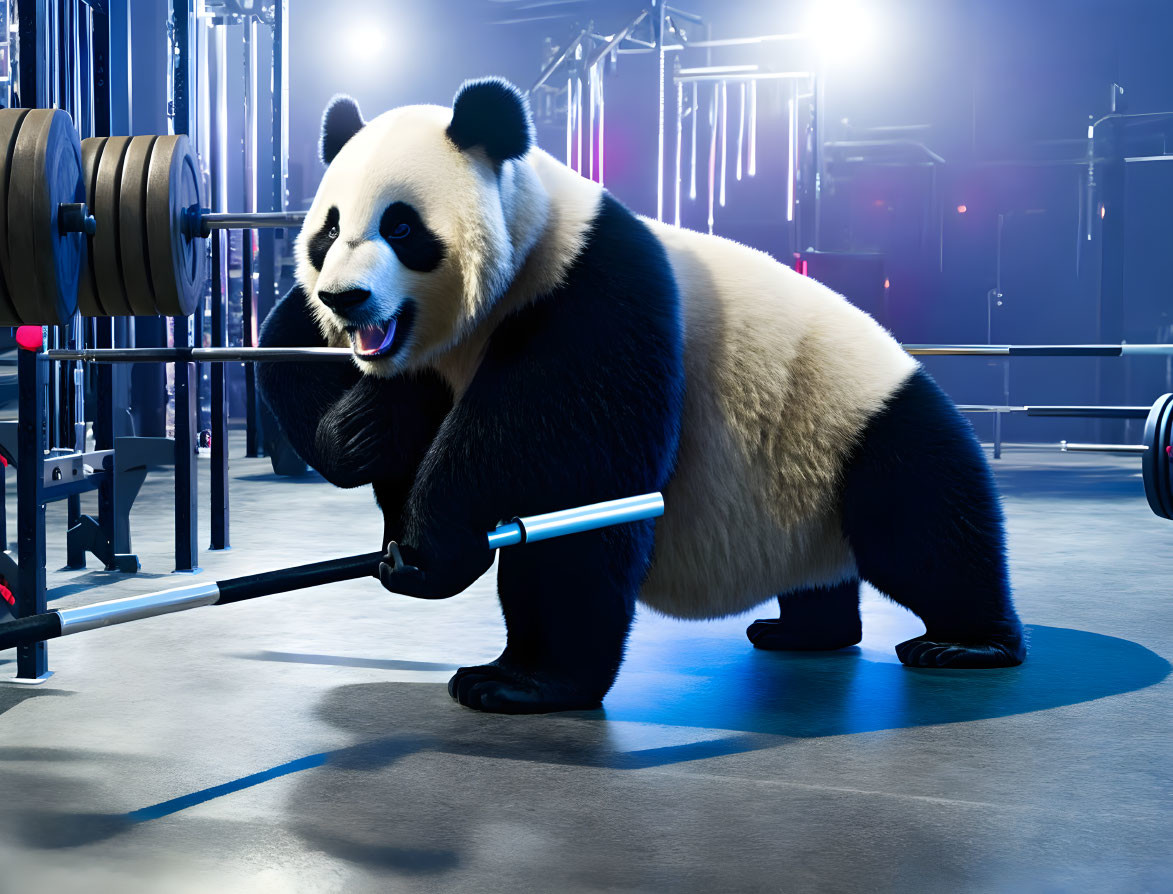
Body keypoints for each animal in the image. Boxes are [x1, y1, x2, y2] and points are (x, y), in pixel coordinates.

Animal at [254, 80, 1018, 713]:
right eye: (328, 229)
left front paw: (496, 638)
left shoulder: (589, 291)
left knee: (926, 525)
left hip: (862, 425)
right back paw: (804, 631)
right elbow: (291, 345)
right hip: (805, 487)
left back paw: (967, 642)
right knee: (842, 568)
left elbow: (569, 473)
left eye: (402, 226)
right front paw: (364, 440)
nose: (347, 298)